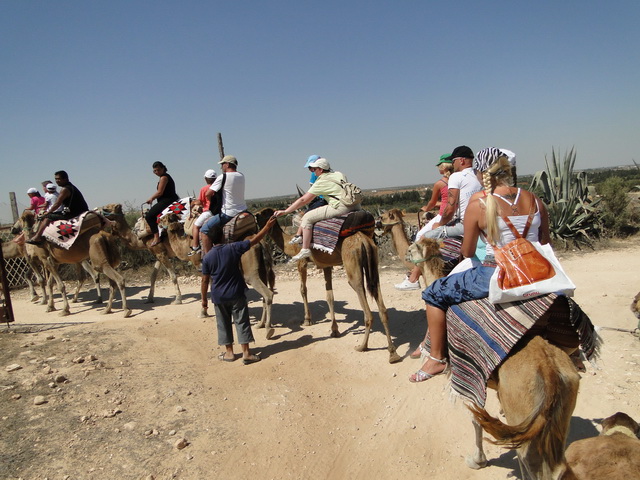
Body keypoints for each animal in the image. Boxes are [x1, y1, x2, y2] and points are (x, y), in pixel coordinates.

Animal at [255, 207, 401, 364]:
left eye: (263, 213)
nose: (255, 217)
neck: (290, 243)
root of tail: (363, 241)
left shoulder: (302, 262)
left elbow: (303, 290)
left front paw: (307, 320)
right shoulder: (326, 265)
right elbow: (329, 296)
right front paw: (334, 330)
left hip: (352, 266)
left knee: (365, 305)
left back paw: (362, 346)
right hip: (373, 263)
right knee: (380, 303)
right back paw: (393, 353)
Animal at [407, 236, 584, 479]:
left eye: (413, 247)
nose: (406, 253)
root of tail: (550, 374)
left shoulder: (469, 377)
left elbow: (476, 418)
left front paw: (477, 460)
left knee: (530, 462)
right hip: (561, 412)